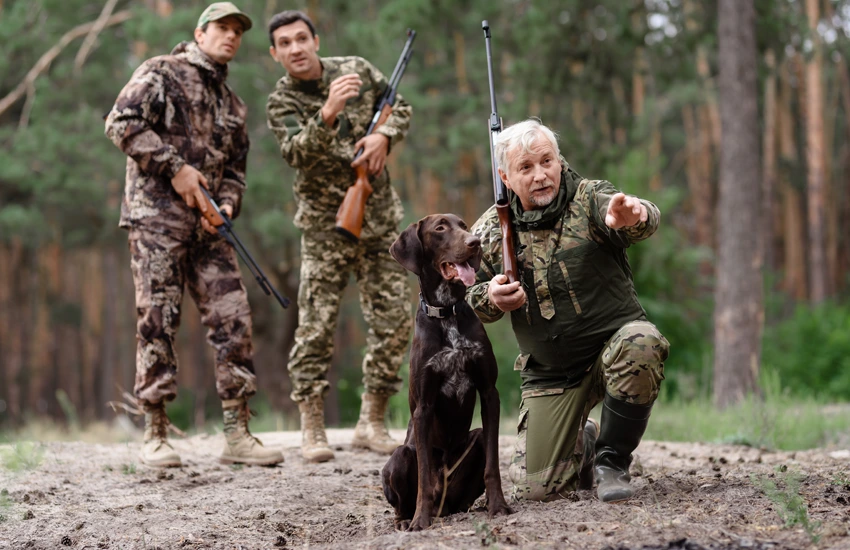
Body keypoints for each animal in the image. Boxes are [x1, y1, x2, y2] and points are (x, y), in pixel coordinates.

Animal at [382, 213, 510, 532]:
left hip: (475, 442)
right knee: (402, 501)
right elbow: (424, 478)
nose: (474, 242)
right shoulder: (424, 406)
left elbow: (493, 465)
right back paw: (407, 520)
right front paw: (420, 520)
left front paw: (498, 506)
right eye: (440, 228)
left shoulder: (489, 393)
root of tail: (445, 506)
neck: (447, 313)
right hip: (400, 456)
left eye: (463, 225)